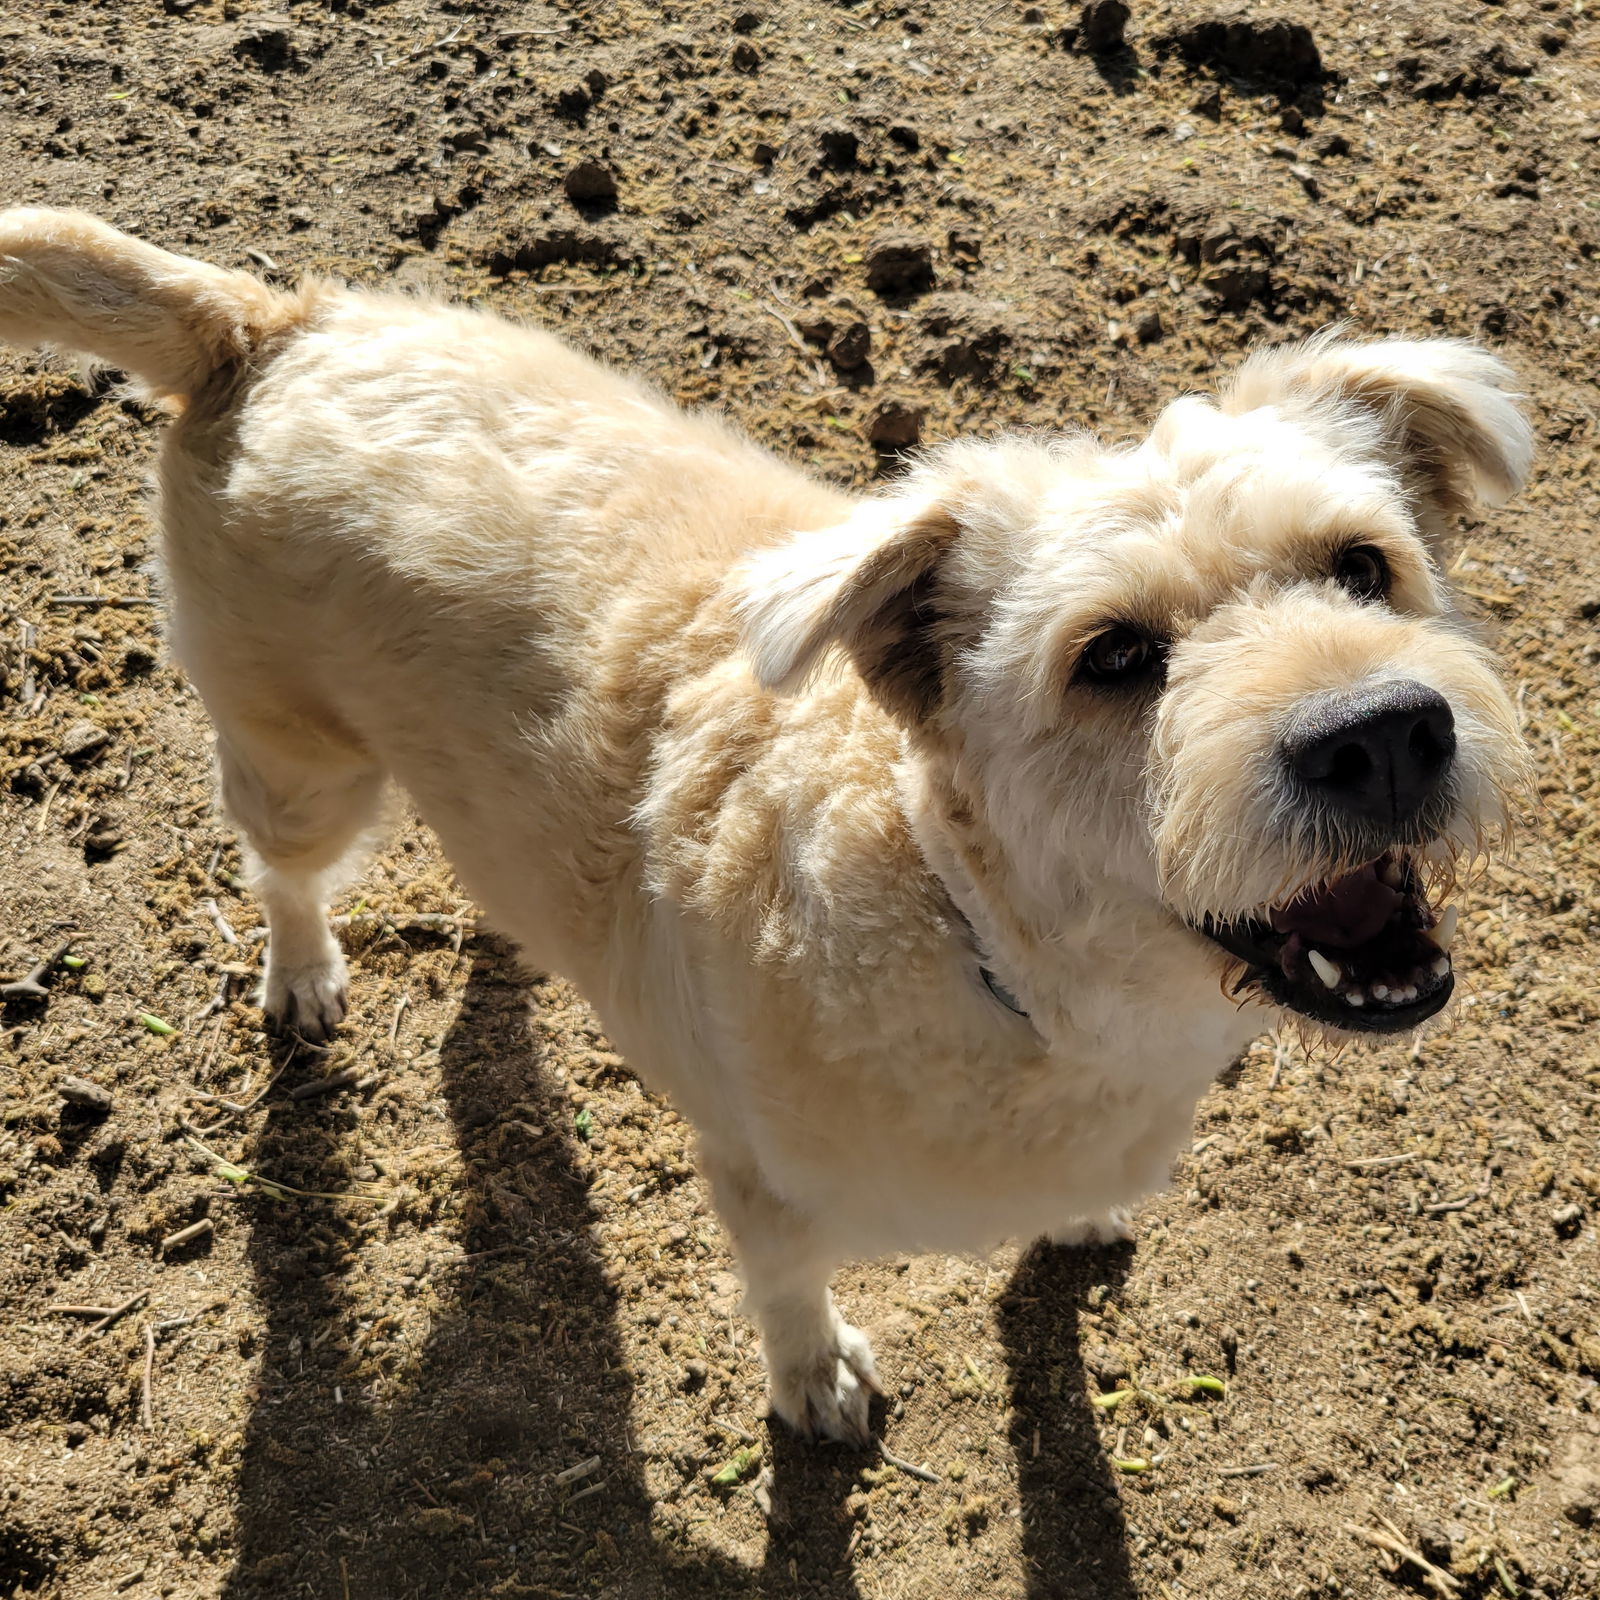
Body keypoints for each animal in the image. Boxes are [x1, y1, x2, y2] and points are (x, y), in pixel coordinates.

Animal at [0, 206, 1529, 1446]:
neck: (989, 952)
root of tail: (270, 321)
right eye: (1110, 657)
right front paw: (816, 1380)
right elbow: (789, 1285)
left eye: (1364, 565)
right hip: (299, 763)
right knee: (285, 871)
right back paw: (305, 972)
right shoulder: (763, 1181)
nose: (1384, 734)